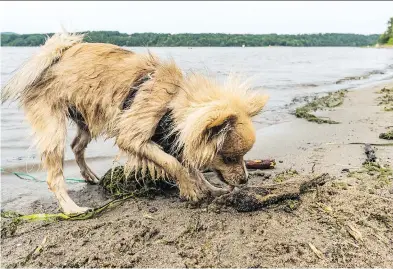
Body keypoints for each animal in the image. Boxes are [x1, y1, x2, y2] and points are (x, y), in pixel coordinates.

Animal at [1, 33, 268, 214]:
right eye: (229, 158)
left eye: (242, 158)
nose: (245, 181)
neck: (172, 102)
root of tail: (53, 56)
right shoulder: (133, 138)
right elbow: (174, 164)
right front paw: (190, 190)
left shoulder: (177, 139)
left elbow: (191, 166)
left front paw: (210, 188)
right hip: (53, 129)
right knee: (55, 176)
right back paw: (71, 208)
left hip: (87, 121)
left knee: (76, 146)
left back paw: (89, 176)